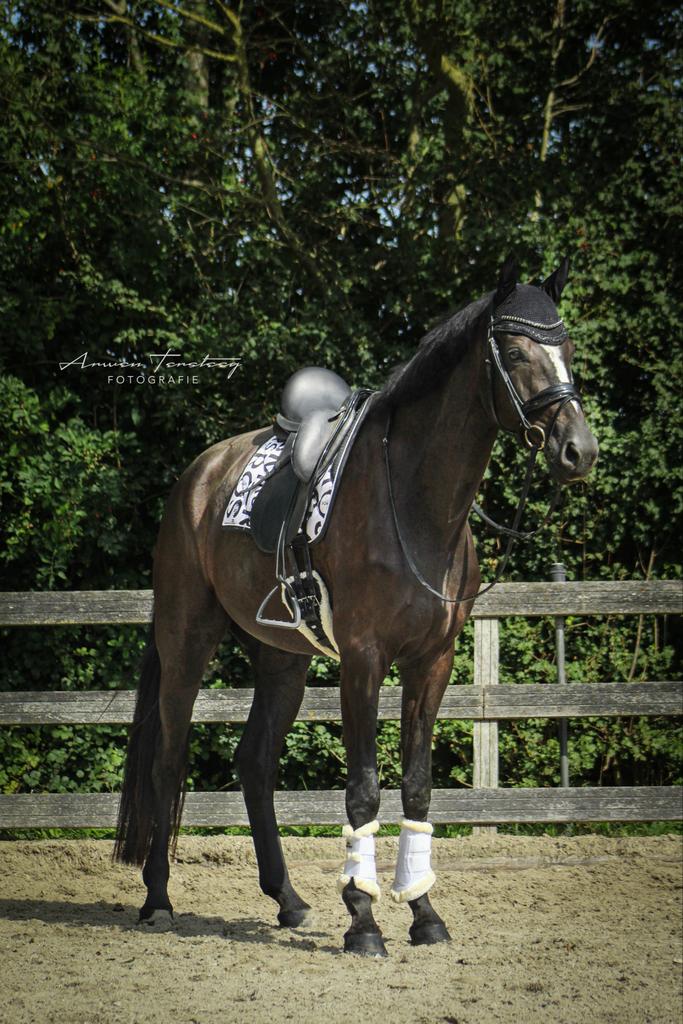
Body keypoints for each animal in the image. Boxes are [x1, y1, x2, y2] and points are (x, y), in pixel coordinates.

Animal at [113, 256, 598, 956]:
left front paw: (424, 914)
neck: (417, 504)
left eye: (568, 348)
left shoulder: (432, 662)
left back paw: (287, 900)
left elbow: (417, 788)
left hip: (281, 661)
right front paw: (364, 922)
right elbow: (364, 791)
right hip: (185, 642)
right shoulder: (364, 661)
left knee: (254, 763)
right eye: (512, 350)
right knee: (168, 759)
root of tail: (197, 477)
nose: (577, 450)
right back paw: (158, 901)